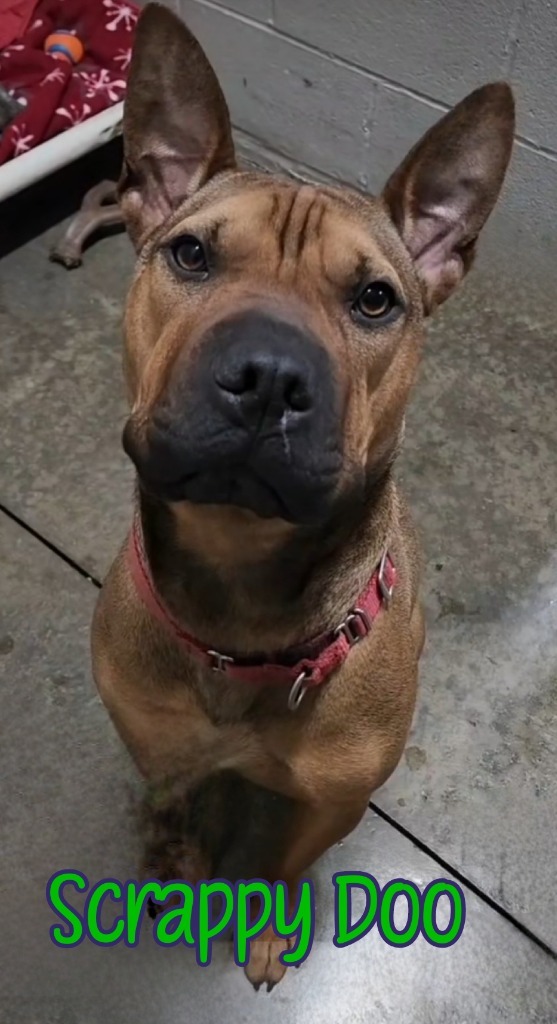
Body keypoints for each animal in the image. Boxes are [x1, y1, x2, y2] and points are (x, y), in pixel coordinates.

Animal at [90, 0, 513, 991]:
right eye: (190, 253)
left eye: (374, 300)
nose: (269, 376)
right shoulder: (153, 742)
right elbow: (170, 805)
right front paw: (168, 865)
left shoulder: (331, 805)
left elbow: (281, 864)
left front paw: (266, 930)